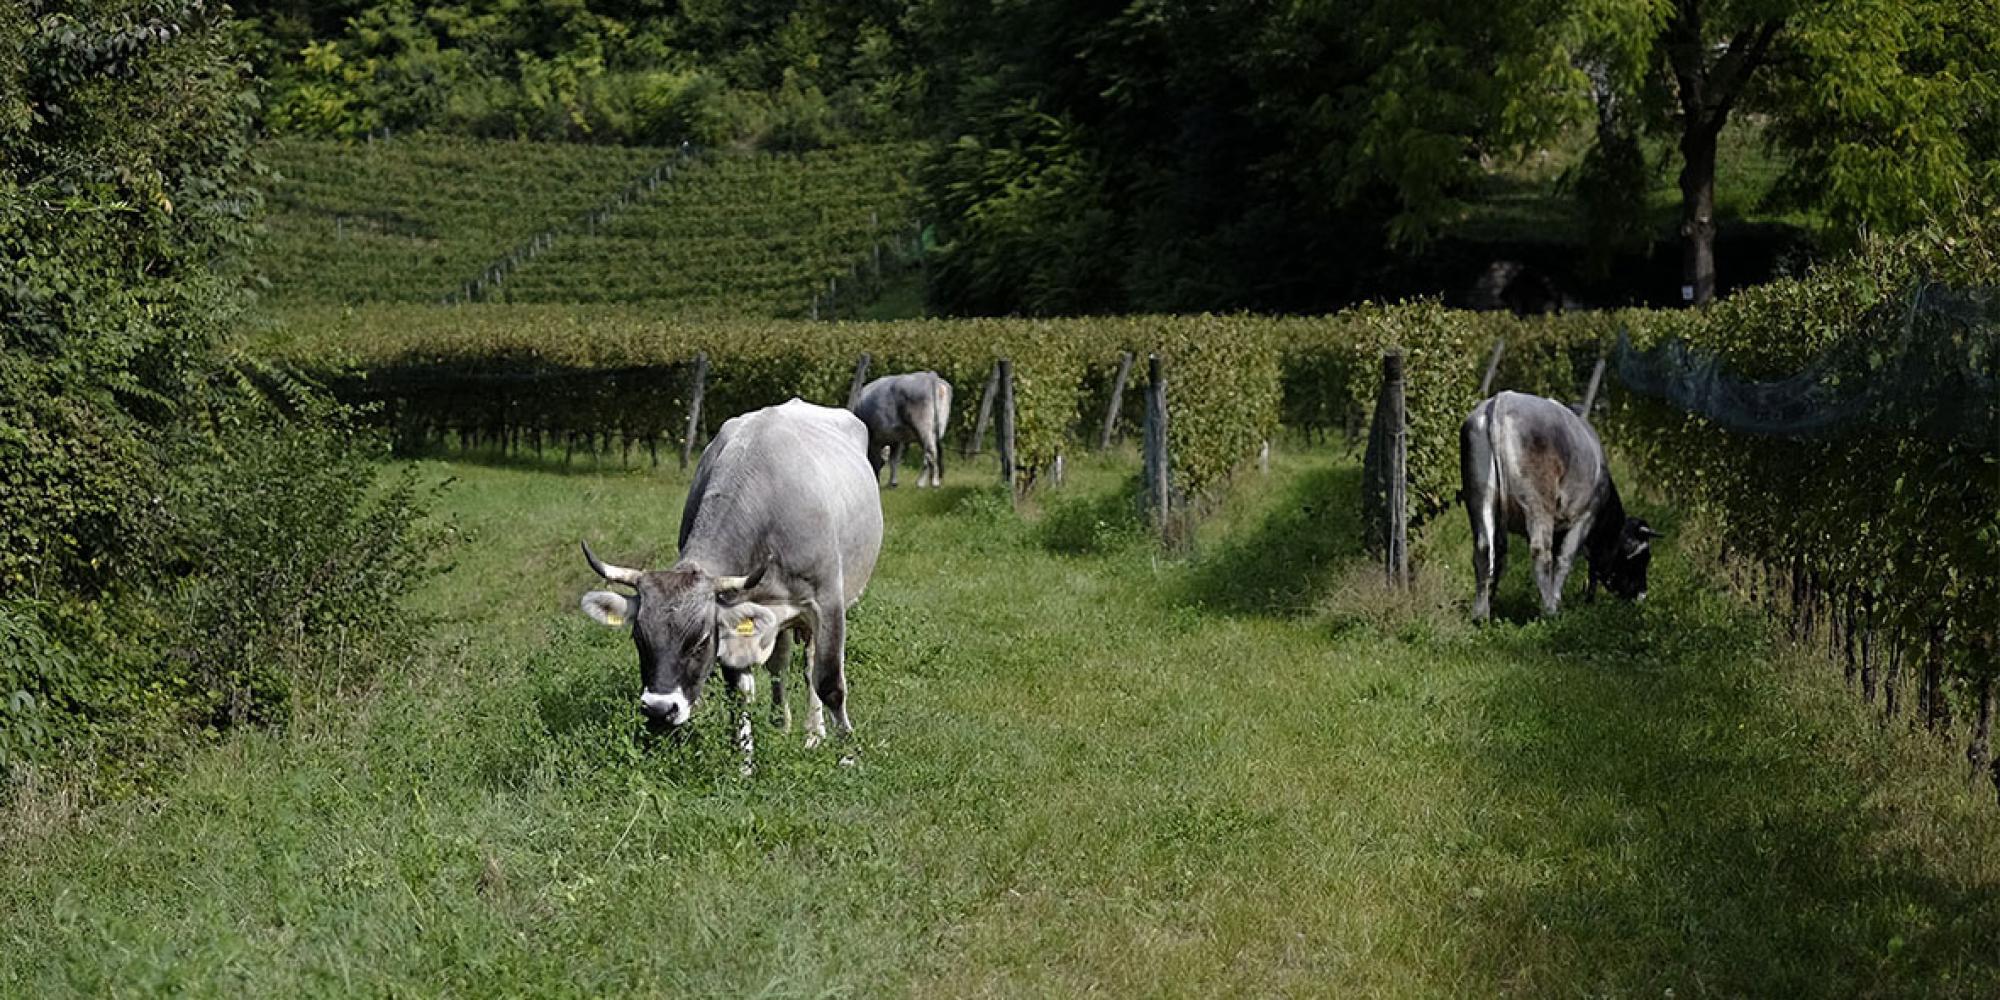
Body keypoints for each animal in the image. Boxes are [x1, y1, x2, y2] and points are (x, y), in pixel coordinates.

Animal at [1464, 388, 1664, 616]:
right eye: (1644, 557)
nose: (1642, 594)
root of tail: (1503, 399)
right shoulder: (1584, 517)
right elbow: (1564, 560)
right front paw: (1555, 601)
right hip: (1538, 504)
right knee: (1541, 552)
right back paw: (1549, 611)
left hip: (1480, 497)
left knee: (1484, 548)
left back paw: (1481, 613)